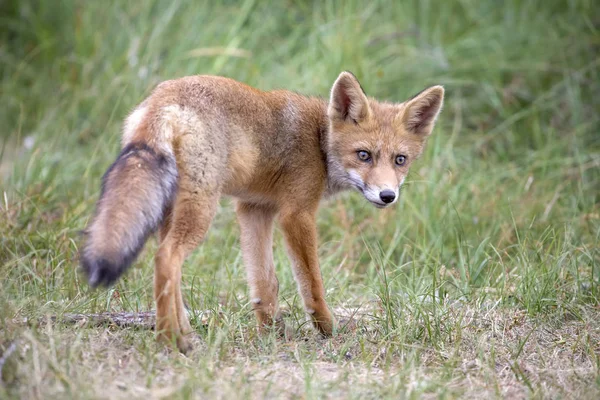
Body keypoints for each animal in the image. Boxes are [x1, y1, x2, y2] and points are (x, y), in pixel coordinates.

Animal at [82, 72, 442, 354]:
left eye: (400, 160)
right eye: (363, 155)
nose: (387, 196)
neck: (318, 142)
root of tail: (163, 99)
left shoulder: (254, 209)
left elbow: (264, 283)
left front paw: (271, 333)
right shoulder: (296, 214)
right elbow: (311, 283)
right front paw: (327, 329)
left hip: (171, 209)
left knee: (170, 269)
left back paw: (181, 332)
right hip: (201, 207)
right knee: (165, 258)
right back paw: (171, 340)